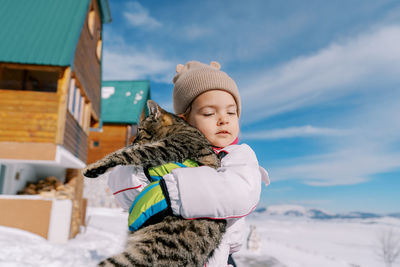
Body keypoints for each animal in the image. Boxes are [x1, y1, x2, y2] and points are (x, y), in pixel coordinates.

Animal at [83, 101, 227, 267]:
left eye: (140, 129)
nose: (133, 141)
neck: (182, 128)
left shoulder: (163, 148)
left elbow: (123, 153)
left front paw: (94, 167)